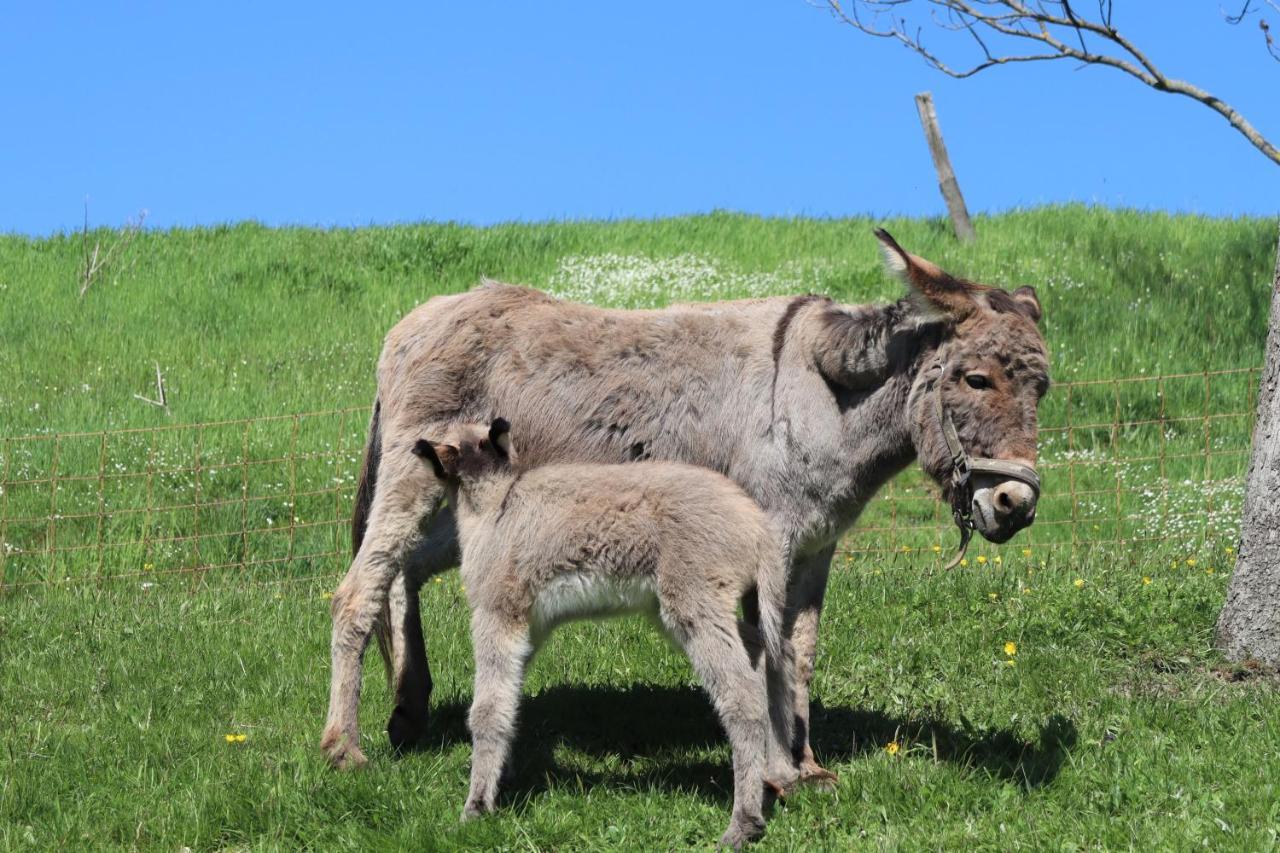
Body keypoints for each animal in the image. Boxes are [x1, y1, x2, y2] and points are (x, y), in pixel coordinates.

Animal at [419, 417, 793, 845]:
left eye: (446, 444)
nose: (417, 446)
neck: (495, 506)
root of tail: (756, 523)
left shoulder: (497, 615)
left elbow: (487, 710)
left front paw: (476, 807)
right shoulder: (531, 626)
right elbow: (509, 700)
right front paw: (503, 779)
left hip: (695, 604)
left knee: (742, 699)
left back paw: (744, 822)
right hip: (688, 611)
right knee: (761, 656)